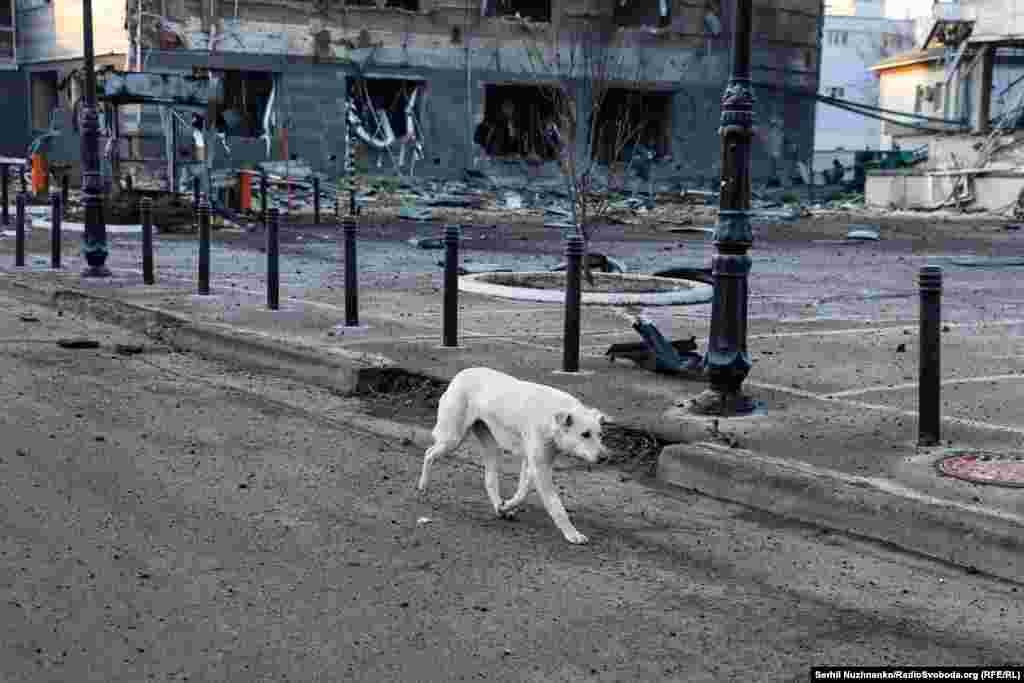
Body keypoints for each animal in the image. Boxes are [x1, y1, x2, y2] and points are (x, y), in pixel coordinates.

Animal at [415, 368, 606, 544]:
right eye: (585, 434)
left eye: (600, 435)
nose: (605, 458)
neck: (551, 417)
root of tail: (460, 374)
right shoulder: (539, 468)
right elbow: (556, 505)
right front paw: (572, 533)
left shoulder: (532, 465)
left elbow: (522, 494)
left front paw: (505, 506)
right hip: (453, 439)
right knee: (429, 453)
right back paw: (423, 486)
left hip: (492, 449)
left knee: (490, 480)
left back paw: (498, 507)